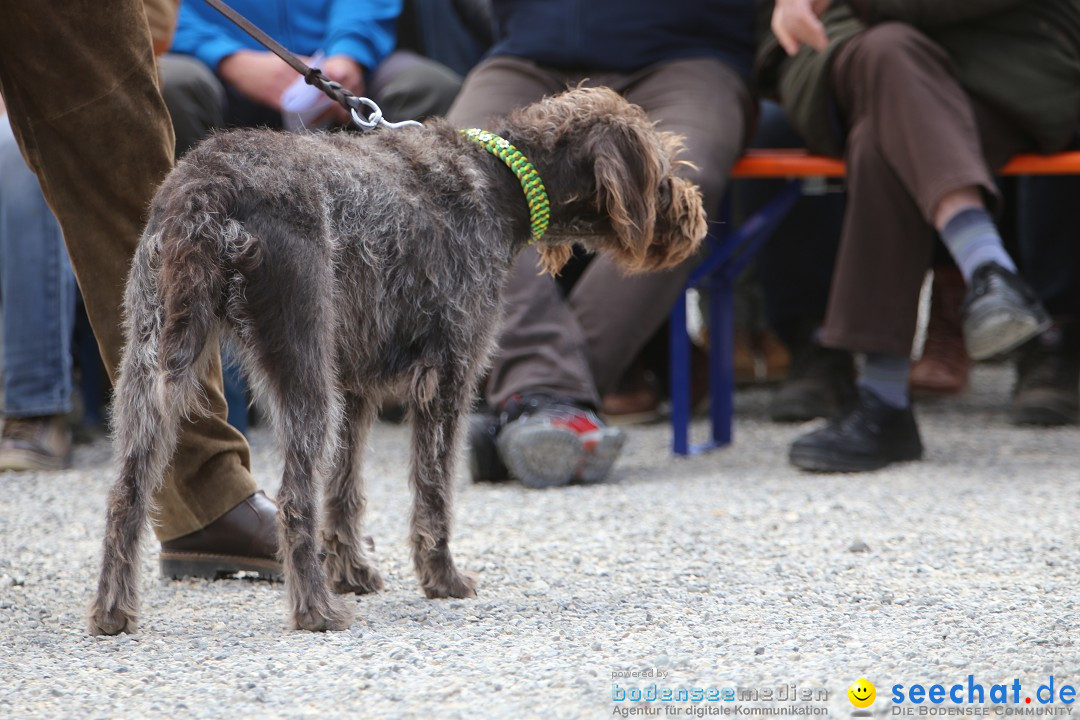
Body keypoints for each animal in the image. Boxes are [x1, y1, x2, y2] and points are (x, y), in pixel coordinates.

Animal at [86, 85, 708, 634]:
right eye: (662, 168)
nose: (695, 216)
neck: (499, 179)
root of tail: (205, 188)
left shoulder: (355, 387)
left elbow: (344, 491)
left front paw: (352, 572)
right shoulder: (449, 377)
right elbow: (433, 494)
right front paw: (442, 579)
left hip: (152, 364)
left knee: (127, 492)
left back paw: (113, 613)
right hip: (302, 370)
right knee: (292, 499)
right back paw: (315, 612)